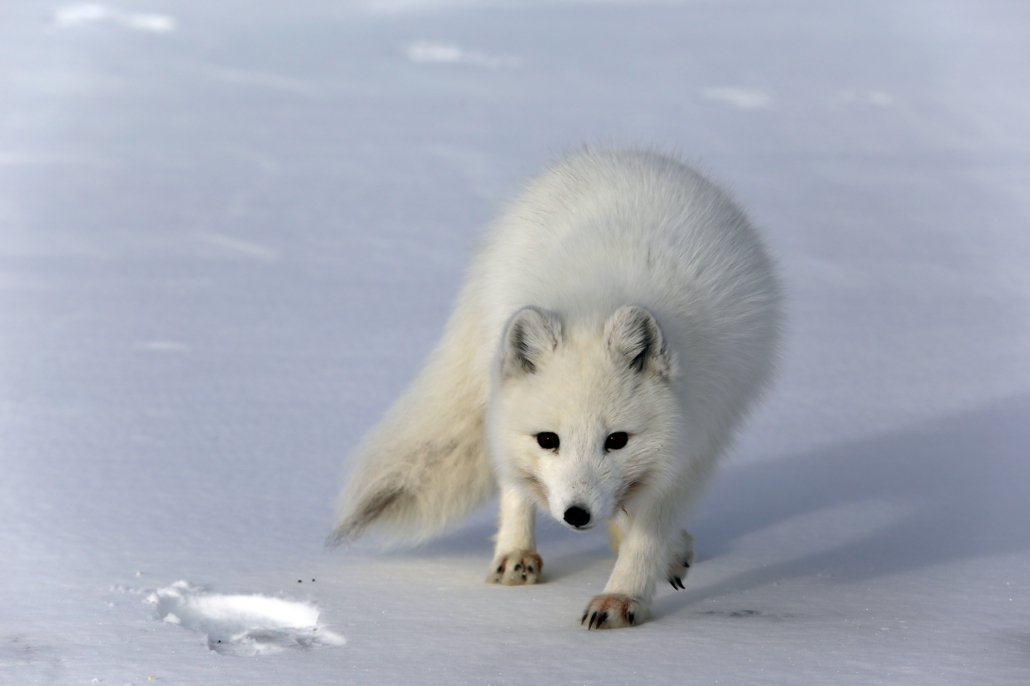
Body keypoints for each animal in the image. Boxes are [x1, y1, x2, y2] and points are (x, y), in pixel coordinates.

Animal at [329, 147, 778, 626]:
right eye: (548, 439)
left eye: (617, 440)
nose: (576, 515)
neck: (595, 303)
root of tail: (622, 153)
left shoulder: (691, 446)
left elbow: (645, 532)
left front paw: (622, 596)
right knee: (513, 480)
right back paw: (516, 555)